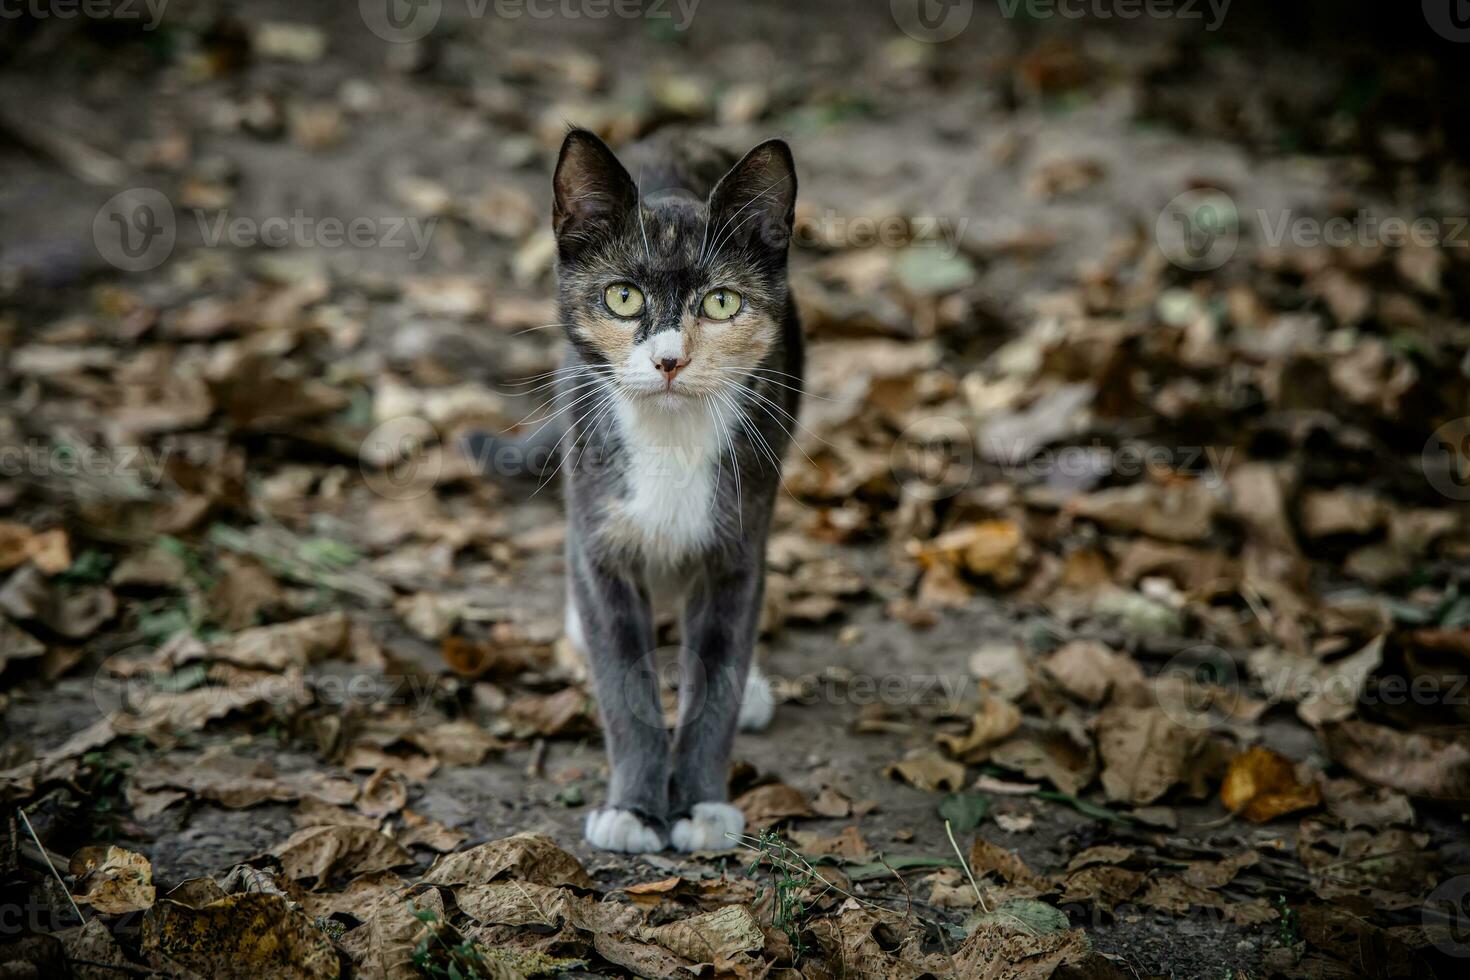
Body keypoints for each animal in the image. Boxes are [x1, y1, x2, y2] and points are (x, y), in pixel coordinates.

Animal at [479, 130, 799, 852]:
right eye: (622, 297)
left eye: (720, 302)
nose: (669, 359)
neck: (670, 438)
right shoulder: (600, 533)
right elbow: (624, 679)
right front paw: (633, 809)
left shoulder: (739, 539)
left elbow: (718, 669)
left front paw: (701, 806)